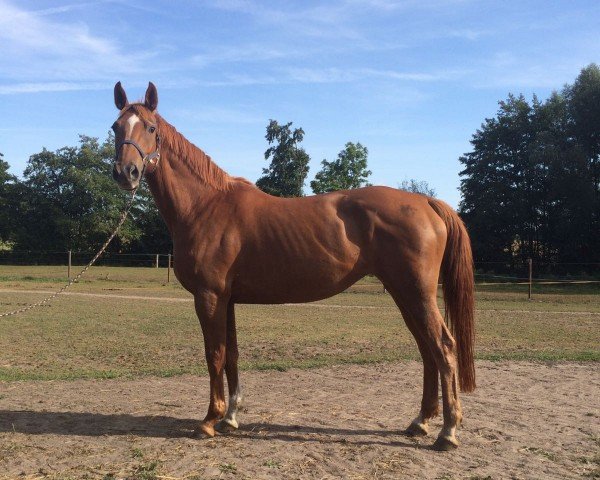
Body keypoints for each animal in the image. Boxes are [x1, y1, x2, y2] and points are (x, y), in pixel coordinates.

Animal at [111, 82, 474, 450]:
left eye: (151, 128)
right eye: (116, 127)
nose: (125, 173)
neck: (205, 206)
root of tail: (426, 201)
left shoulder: (209, 297)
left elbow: (214, 354)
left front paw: (210, 420)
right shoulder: (227, 300)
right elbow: (232, 355)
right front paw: (230, 417)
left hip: (417, 293)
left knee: (443, 347)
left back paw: (448, 431)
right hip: (404, 294)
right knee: (427, 350)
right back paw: (421, 422)